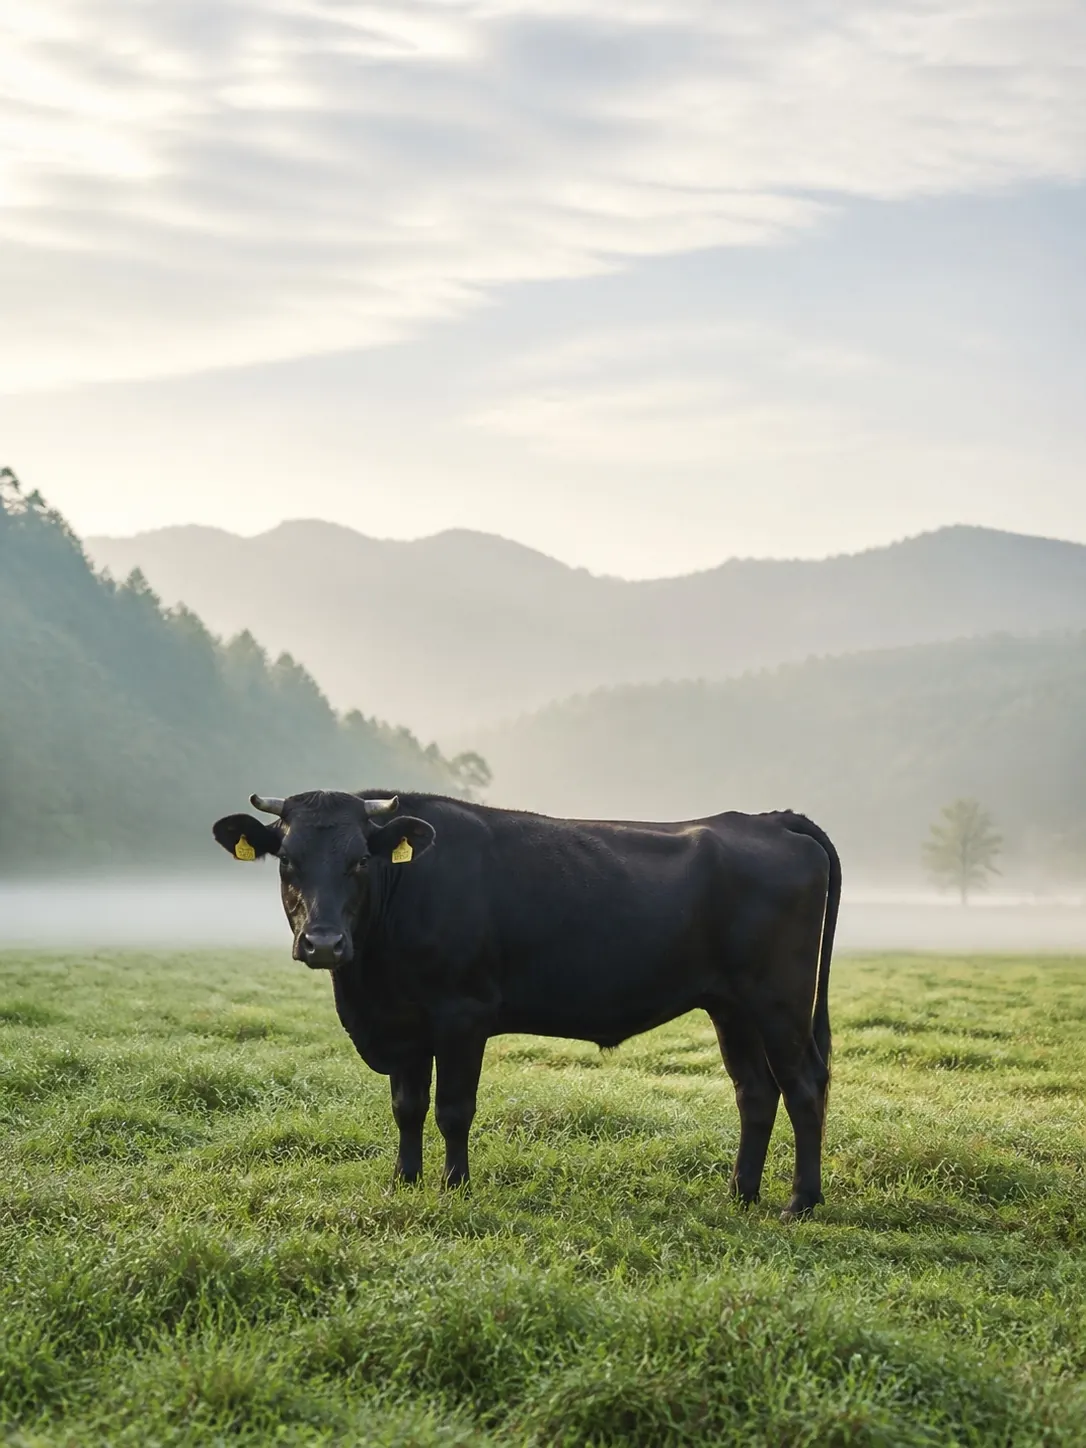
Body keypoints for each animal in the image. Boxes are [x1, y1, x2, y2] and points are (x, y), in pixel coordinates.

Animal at [213, 791, 841, 1220]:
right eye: (287, 860)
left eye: (360, 861)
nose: (322, 943)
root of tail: (768, 818)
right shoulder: (406, 1022)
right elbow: (407, 1108)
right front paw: (404, 1182)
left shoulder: (461, 1014)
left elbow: (453, 1109)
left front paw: (455, 1186)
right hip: (732, 1007)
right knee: (755, 1091)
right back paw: (740, 1192)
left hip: (780, 1001)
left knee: (804, 1086)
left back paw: (800, 1202)